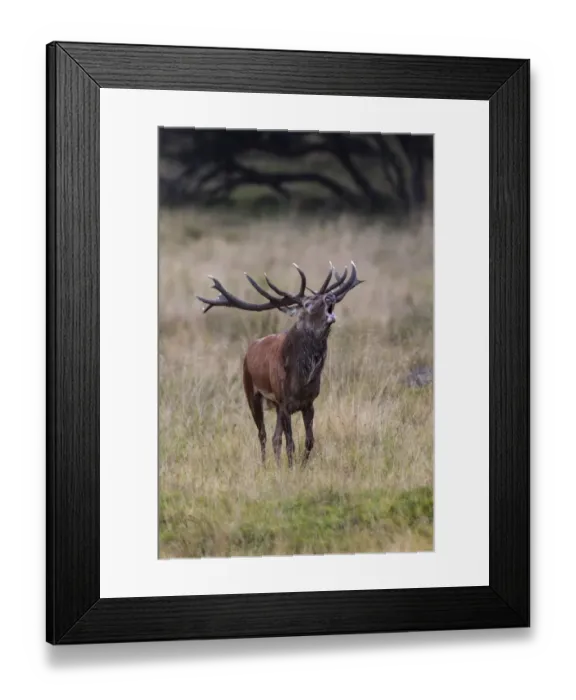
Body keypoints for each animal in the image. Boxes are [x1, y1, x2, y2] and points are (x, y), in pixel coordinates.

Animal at [197, 261, 363, 468]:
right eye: (307, 304)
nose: (330, 296)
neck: (302, 379)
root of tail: (249, 349)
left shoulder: (308, 403)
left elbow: (309, 441)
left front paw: (301, 466)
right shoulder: (284, 402)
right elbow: (290, 443)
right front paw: (291, 468)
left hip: (275, 404)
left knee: (275, 438)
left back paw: (275, 464)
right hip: (252, 393)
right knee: (263, 434)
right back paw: (264, 464)